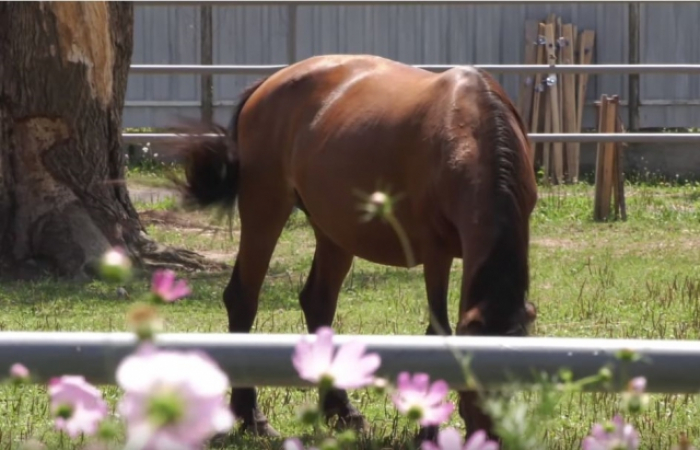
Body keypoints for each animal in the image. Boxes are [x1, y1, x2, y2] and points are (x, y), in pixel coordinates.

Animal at [172, 53, 540, 442]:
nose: (492, 438)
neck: (470, 130)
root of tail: (268, 85)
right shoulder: (435, 251)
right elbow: (436, 331)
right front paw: (427, 431)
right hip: (265, 207)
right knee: (243, 298)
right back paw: (251, 417)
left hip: (334, 231)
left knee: (318, 302)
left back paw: (343, 411)